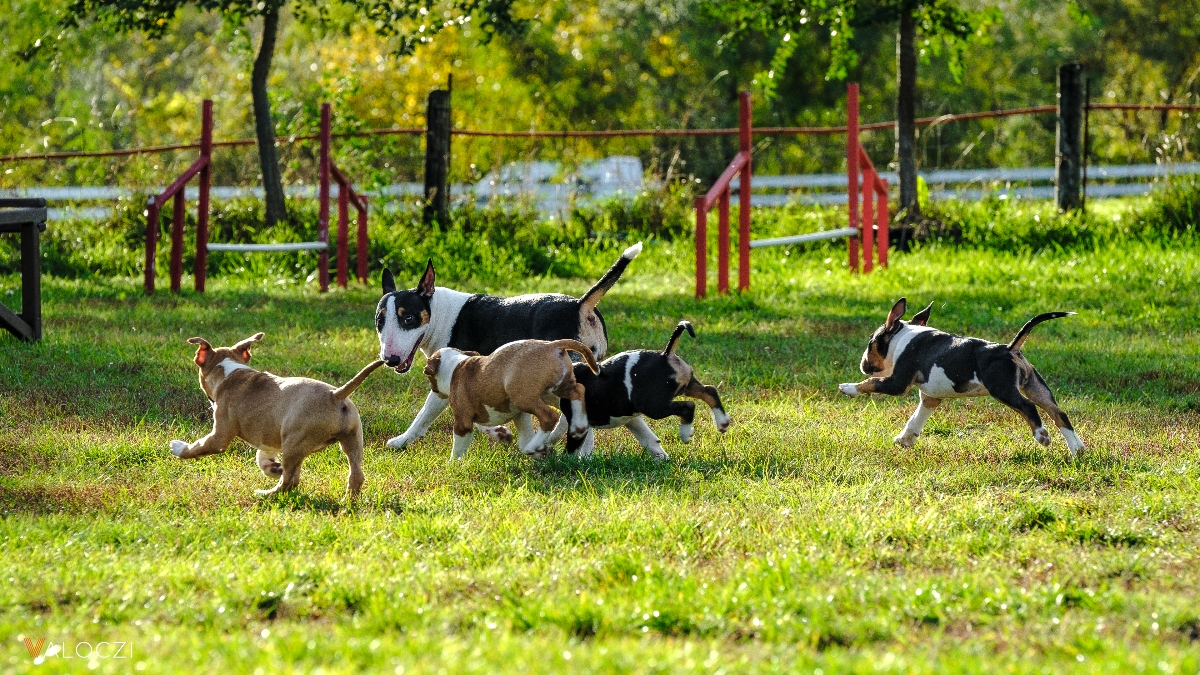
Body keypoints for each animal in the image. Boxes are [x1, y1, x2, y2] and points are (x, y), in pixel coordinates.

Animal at [169, 331, 381, 497]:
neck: (230, 372)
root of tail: (335, 395)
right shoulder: (269, 433)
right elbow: (262, 454)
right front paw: (272, 467)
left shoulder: (219, 436)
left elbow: (199, 446)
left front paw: (178, 447)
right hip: (352, 440)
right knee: (356, 475)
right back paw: (348, 502)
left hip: (294, 444)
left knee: (290, 480)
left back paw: (265, 494)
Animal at [422, 338, 600, 458]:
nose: (433, 390)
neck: (455, 365)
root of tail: (552, 345)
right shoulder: (516, 415)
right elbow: (497, 429)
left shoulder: (463, 420)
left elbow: (458, 448)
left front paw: (453, 465)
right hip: (558, 390)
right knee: (578, 391)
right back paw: (577, 427)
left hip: (523, 396)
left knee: (549, 416)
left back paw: (533, 446)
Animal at [556, 319, 724, 456]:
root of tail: (666, 354)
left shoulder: (577, 424)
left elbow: (570, 447)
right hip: (685, 387)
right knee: (709, 391)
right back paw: (723, 422)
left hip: (654, 405)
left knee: (688, 406)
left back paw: (686, 433)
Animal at [840, 296, 1084, 454]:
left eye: (871, 342)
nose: (863, 364)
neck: (903, 337)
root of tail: (1009, 348)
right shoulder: (930, 398)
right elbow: (916, 419)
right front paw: (905, 439)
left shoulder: (897, 383)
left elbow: (871, 382)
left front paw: (848, 388)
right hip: (1036, 387)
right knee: (1059, 412)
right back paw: (1077, 449)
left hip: (1002, 388)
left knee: (1028, 407)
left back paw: (1042, 435)